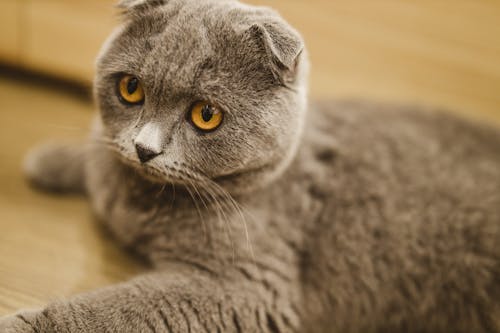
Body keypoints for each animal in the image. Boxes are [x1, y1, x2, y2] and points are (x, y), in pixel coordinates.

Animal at [0, 0, 500, 330]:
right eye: (130, 89)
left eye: (206, 115)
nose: (144, 148)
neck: (138, 201)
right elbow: (100, 152)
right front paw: (48, 159)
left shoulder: (245, 287)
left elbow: (108, 311)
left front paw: (17, 324)